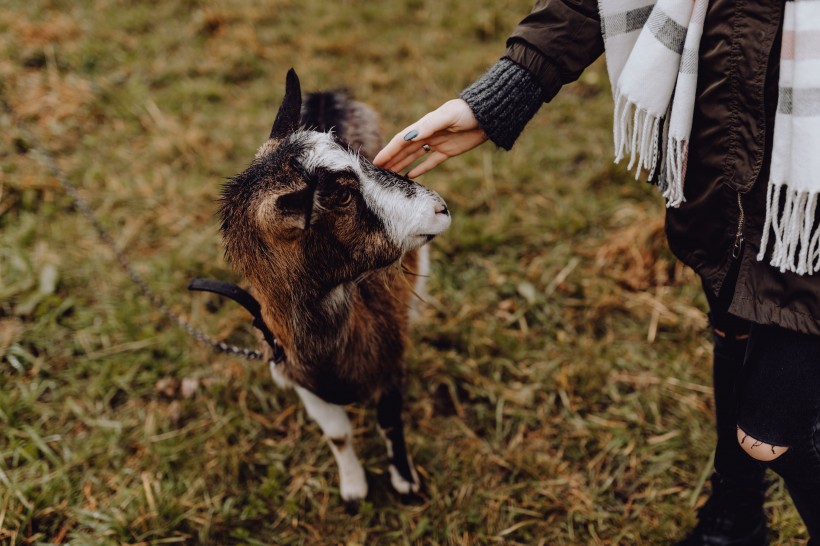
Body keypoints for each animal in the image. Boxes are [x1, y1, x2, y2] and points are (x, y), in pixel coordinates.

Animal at [219, 69, 448, 506]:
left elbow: (389, 422)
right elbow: (339, 436)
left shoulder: (390, 360)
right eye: (341, 195)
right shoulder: (305, 385)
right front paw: (354, 490)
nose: (440, 209)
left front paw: (405, 482)